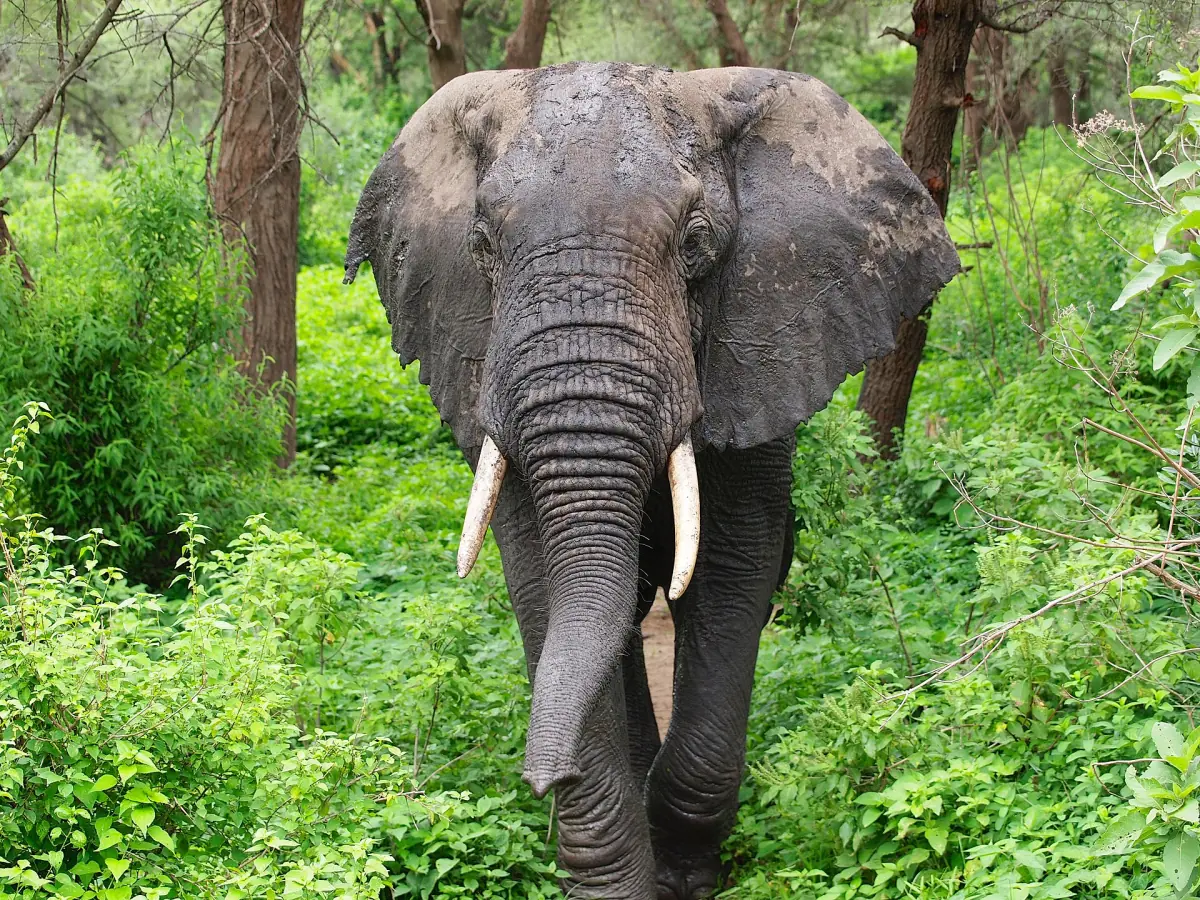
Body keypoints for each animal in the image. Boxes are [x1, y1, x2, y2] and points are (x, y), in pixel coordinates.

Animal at [345, 62, 958, 898]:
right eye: (481, 245)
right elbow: (545, 583)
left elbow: (731, 569)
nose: (543, 780)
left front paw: (685, 873)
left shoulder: (758, 349)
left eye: (696, 246)